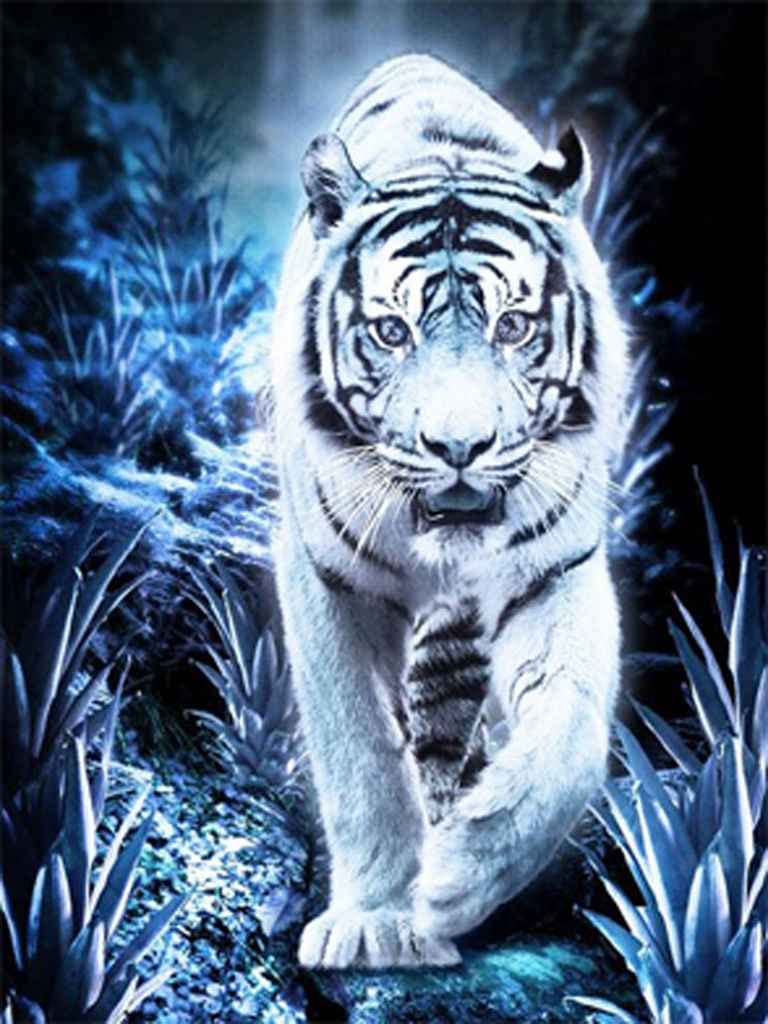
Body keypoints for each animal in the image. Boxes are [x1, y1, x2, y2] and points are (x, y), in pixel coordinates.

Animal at [270, 53, 628, 969]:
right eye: (392, 332)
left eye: (514, 326)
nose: (459, 446)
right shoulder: (325, 576)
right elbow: (360, 753)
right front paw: (379, 918)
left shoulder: (558, 568)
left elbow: (570, 732)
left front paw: (462, 874)